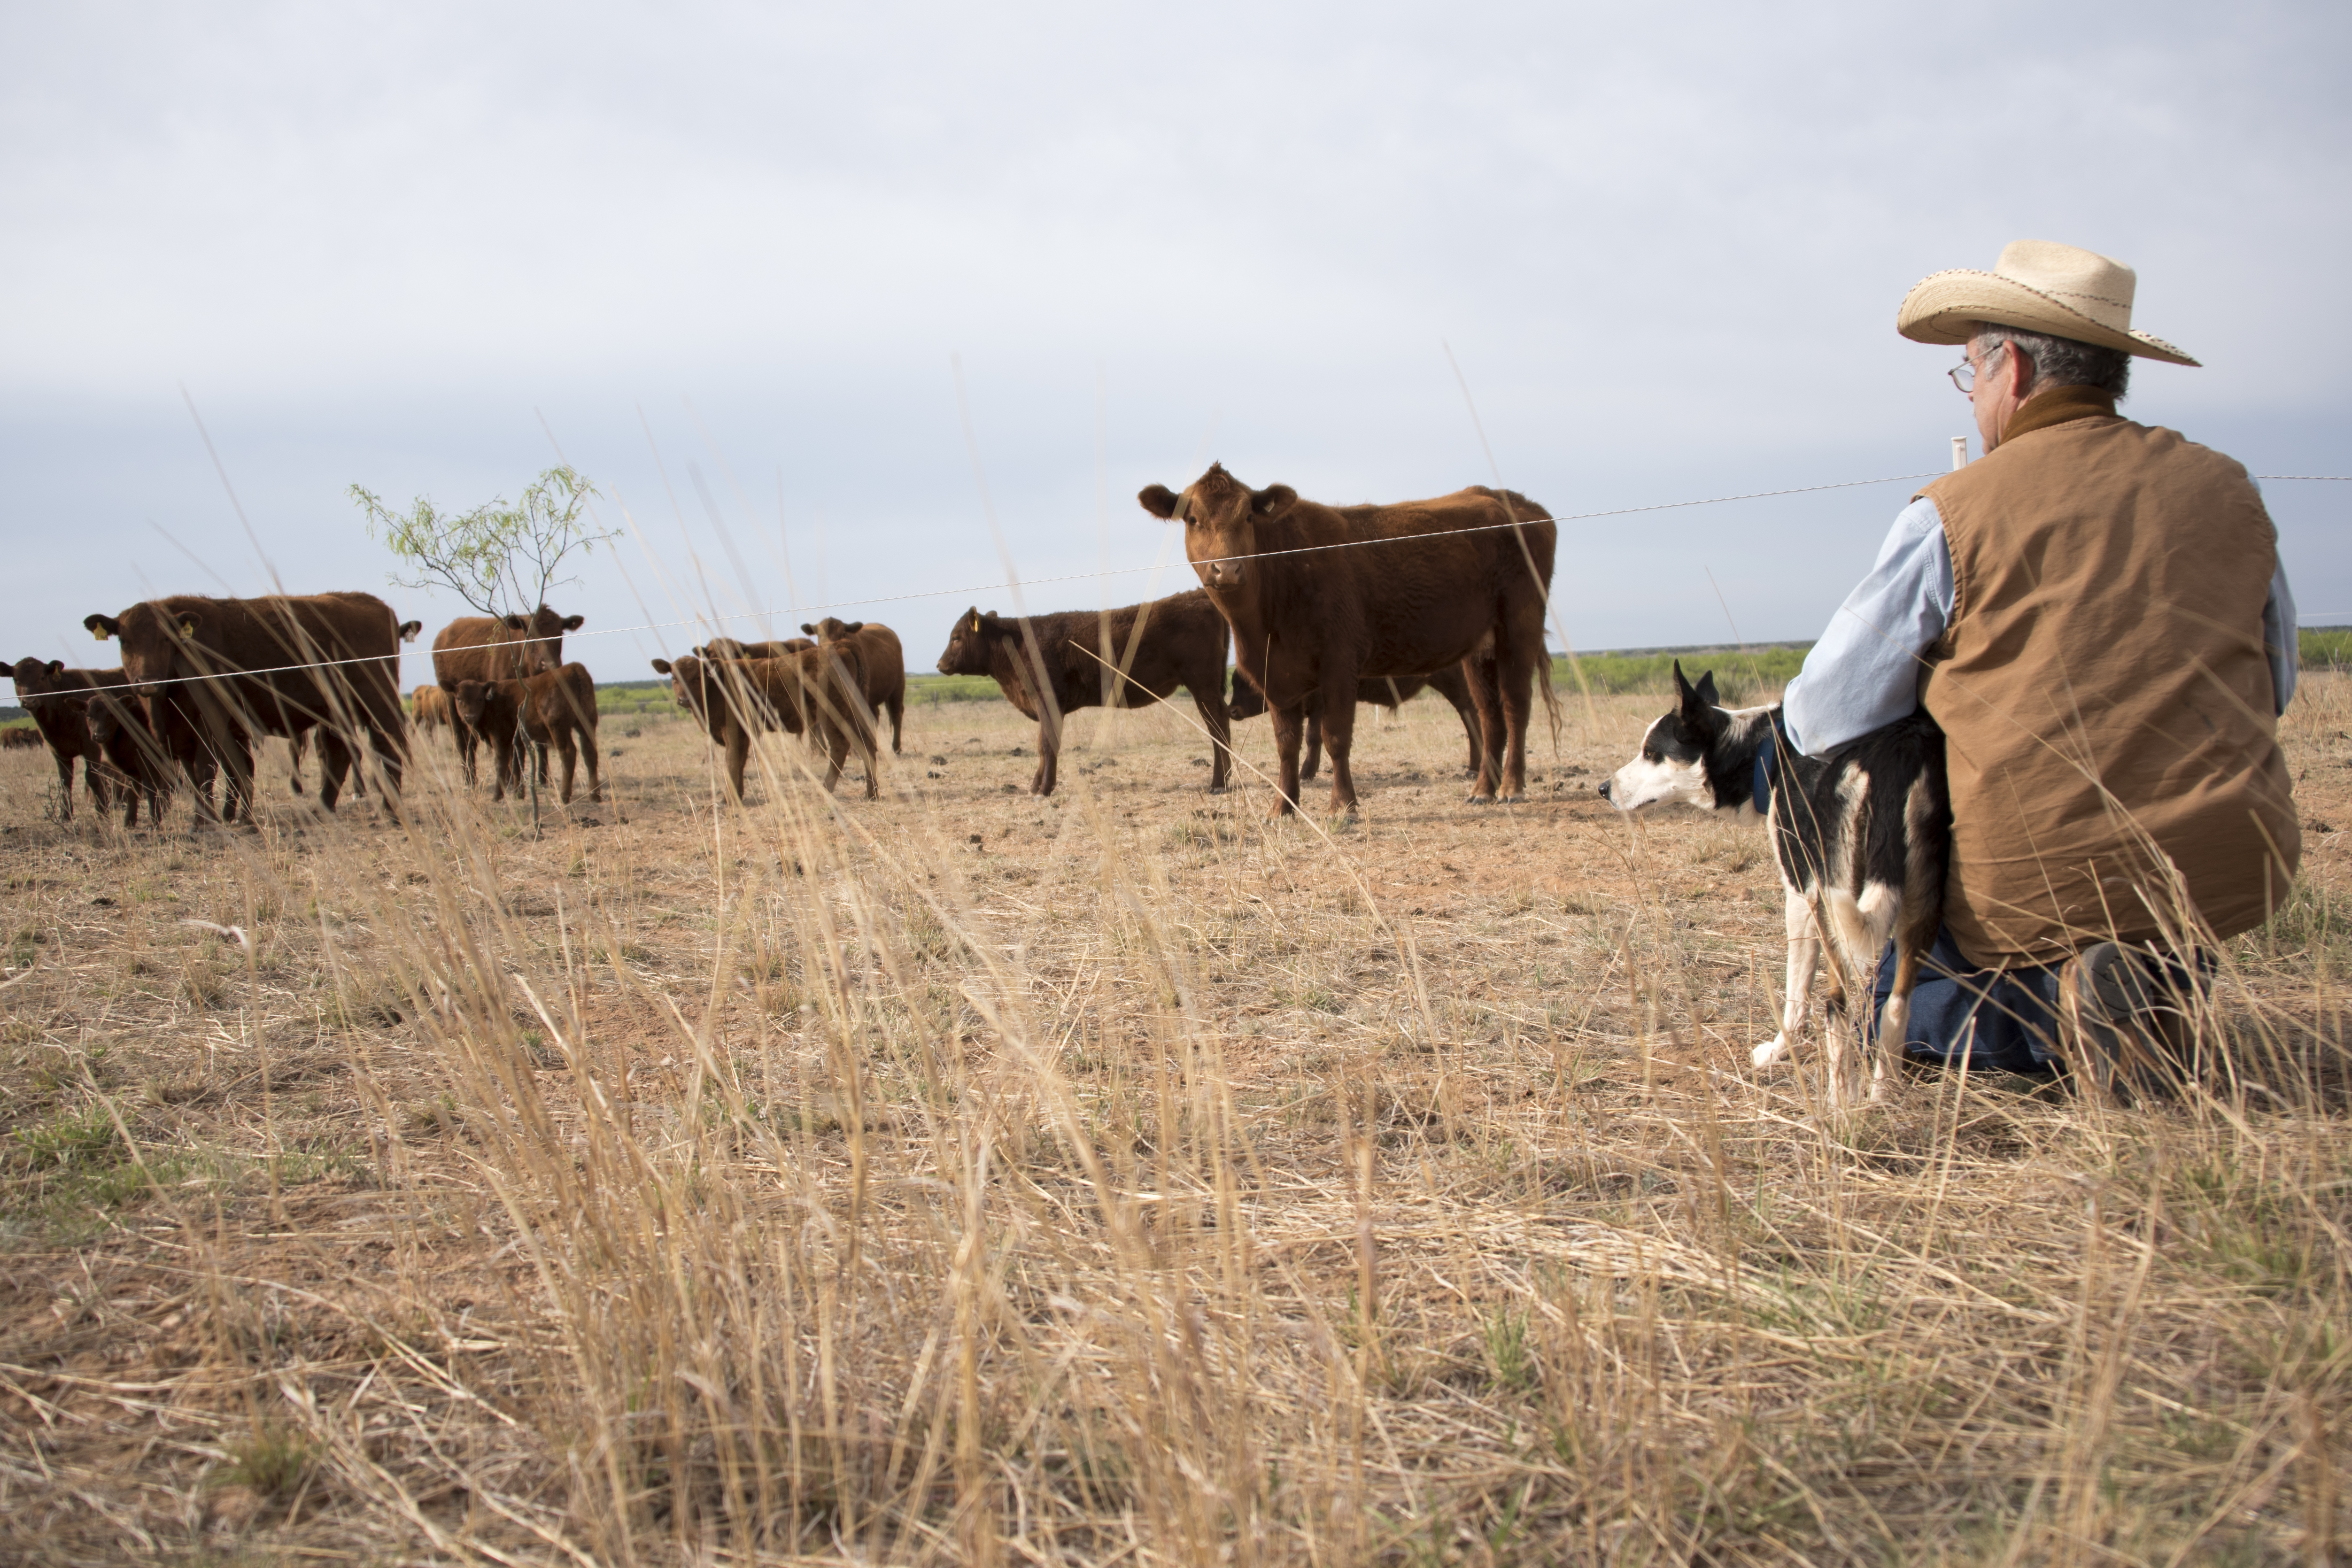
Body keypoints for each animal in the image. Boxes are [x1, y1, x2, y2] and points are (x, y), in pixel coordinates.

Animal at [83, 592, 411, 823]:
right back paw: (322, 809)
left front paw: (207, 821)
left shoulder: (209, 723)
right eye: (124, 641)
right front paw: (223, 817)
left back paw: (391, 810)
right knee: (339, 756)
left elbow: (208, 770)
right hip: (335, 714)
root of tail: (378, 607)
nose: (148, 682)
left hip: (378, 706)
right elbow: (222, 771)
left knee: (389, 748)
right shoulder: (196, 731)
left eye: (166, 638)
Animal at [931, 587, 1242, 799]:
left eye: (957, 637)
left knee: (1217, 725)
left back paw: (1218, 784)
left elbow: (1048, 745)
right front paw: (1035, 787)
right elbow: (1042, 745)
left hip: (1202, 684)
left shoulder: (1048, 701)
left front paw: (1044, 789)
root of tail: (1198, 594)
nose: (940, 664)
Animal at [1143, 465, 1562, 818]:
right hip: (1479, 649)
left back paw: (1511, 786)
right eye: (1192, 518)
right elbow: (1287, 742)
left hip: (1520, 627)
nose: (1227, 569)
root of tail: (1513, 500)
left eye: (1248, 516)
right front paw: (1283, 807)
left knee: (1515, 706)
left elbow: (1335, 736)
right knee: (1490, 716)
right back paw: (1483, 789)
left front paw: (1344, 805)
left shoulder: (1340, 663)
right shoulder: (1276, 673)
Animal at [1599, 663, 1947, 1105]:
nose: (1603, 788)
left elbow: (1797, 997)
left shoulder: (1801, 894)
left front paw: (1778, 1052)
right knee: (1898, 1006)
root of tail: (1897, 753)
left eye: (1651, 753)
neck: (1764, 753)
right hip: (1920, 907)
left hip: (1837, 907)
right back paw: (1884, 1096)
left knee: (1838, 1005)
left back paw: (1839, 1104)